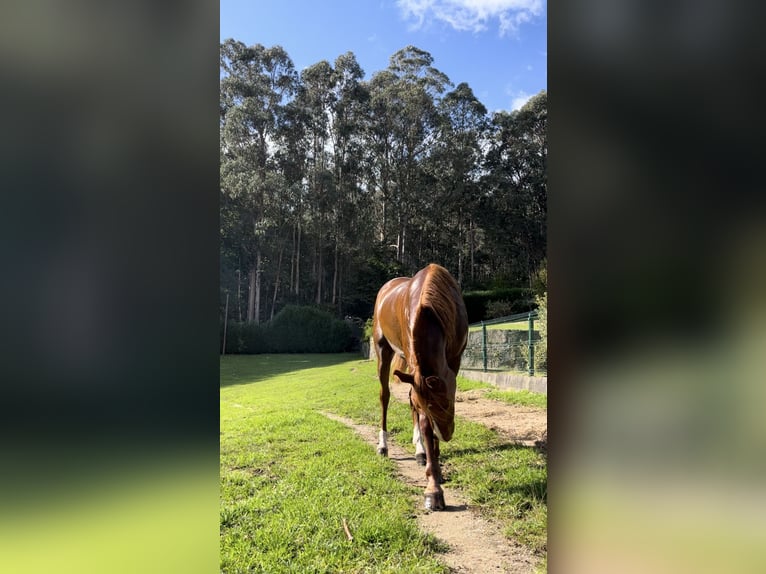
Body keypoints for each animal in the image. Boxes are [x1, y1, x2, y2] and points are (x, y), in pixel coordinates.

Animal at [372, 264, 468, 510]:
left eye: (448, 401)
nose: (447, 434)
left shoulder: (454, 359)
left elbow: (416, 407)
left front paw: (433, 457)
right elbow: (424, 421)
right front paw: (433, 488)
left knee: (407, 397)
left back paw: (419, 450)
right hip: (383, 349)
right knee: (385, 396)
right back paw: (385, 446)